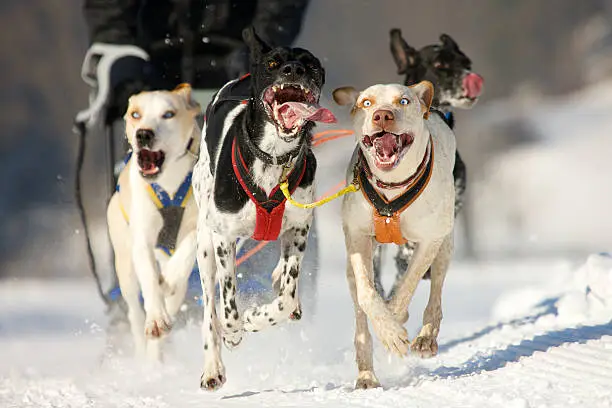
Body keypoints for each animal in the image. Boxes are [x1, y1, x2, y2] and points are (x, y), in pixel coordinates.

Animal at [106, 84, 201, 358]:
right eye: (135, 114)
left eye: (168, 114)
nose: (143, 134)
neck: (169, 184)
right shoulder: (142, 239)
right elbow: (149, 278)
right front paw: (157, 319)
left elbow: (186, 250)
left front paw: (168, 278)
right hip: (124, 266)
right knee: (135, 312)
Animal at [192, 27, 332, 390]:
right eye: (274, 63)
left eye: (311, 64)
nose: (293, 70)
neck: (274, 159)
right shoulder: (223, 237)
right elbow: (227, 304)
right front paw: (235, 330)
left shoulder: (299, 228)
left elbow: (286, 298)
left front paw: (258, 316)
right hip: (204, 243)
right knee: (209, 308)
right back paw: (213, 367)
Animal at [332, 82, 456, 388]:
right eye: (366, 102)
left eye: (404, 101)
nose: (382, 115)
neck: (391, 188)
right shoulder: (357, 237)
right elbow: (368, 294)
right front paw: (388, 328)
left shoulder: (429, 241)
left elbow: (407, 285)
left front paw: (395, 322)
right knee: (361, 317)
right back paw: (366, 374)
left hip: (445, 244)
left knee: (435, 294)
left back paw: (425, 337)